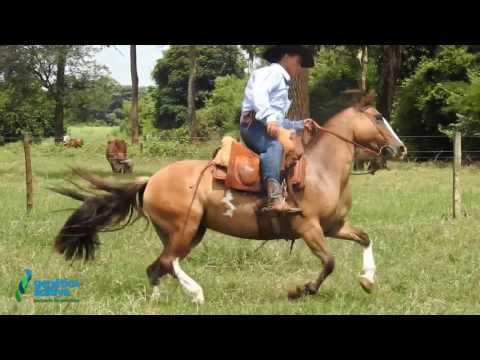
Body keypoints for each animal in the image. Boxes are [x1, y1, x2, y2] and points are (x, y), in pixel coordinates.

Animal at [51, 90, 404, 304]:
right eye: (377, 117)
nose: (400, 148)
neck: (321, 170)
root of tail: (151, 180)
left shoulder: (334, 226)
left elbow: (365, 238)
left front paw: (368, 280)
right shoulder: (309, 228)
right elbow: (329, 262)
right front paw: (301, 290)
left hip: (188, 232)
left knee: (159, 266)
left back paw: (163, 300)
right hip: (185, 229)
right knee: (166, 262)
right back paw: (196, 293)